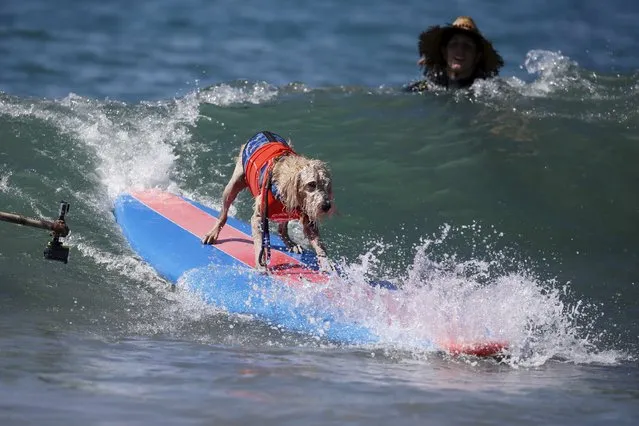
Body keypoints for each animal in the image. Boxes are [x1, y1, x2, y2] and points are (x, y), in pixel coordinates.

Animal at [204, 130, 336, 272]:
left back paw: (291, 243)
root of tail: (262, 132)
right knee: (223, 214)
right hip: (232, 186)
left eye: (327, 185)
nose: (327, 206)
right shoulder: (258, 217)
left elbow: (319, 245)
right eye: (311, 184)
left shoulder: (307, 217)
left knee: (282, 229)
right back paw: (213, 233)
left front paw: (327, 264)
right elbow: (259, 243)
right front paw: (261, 264)